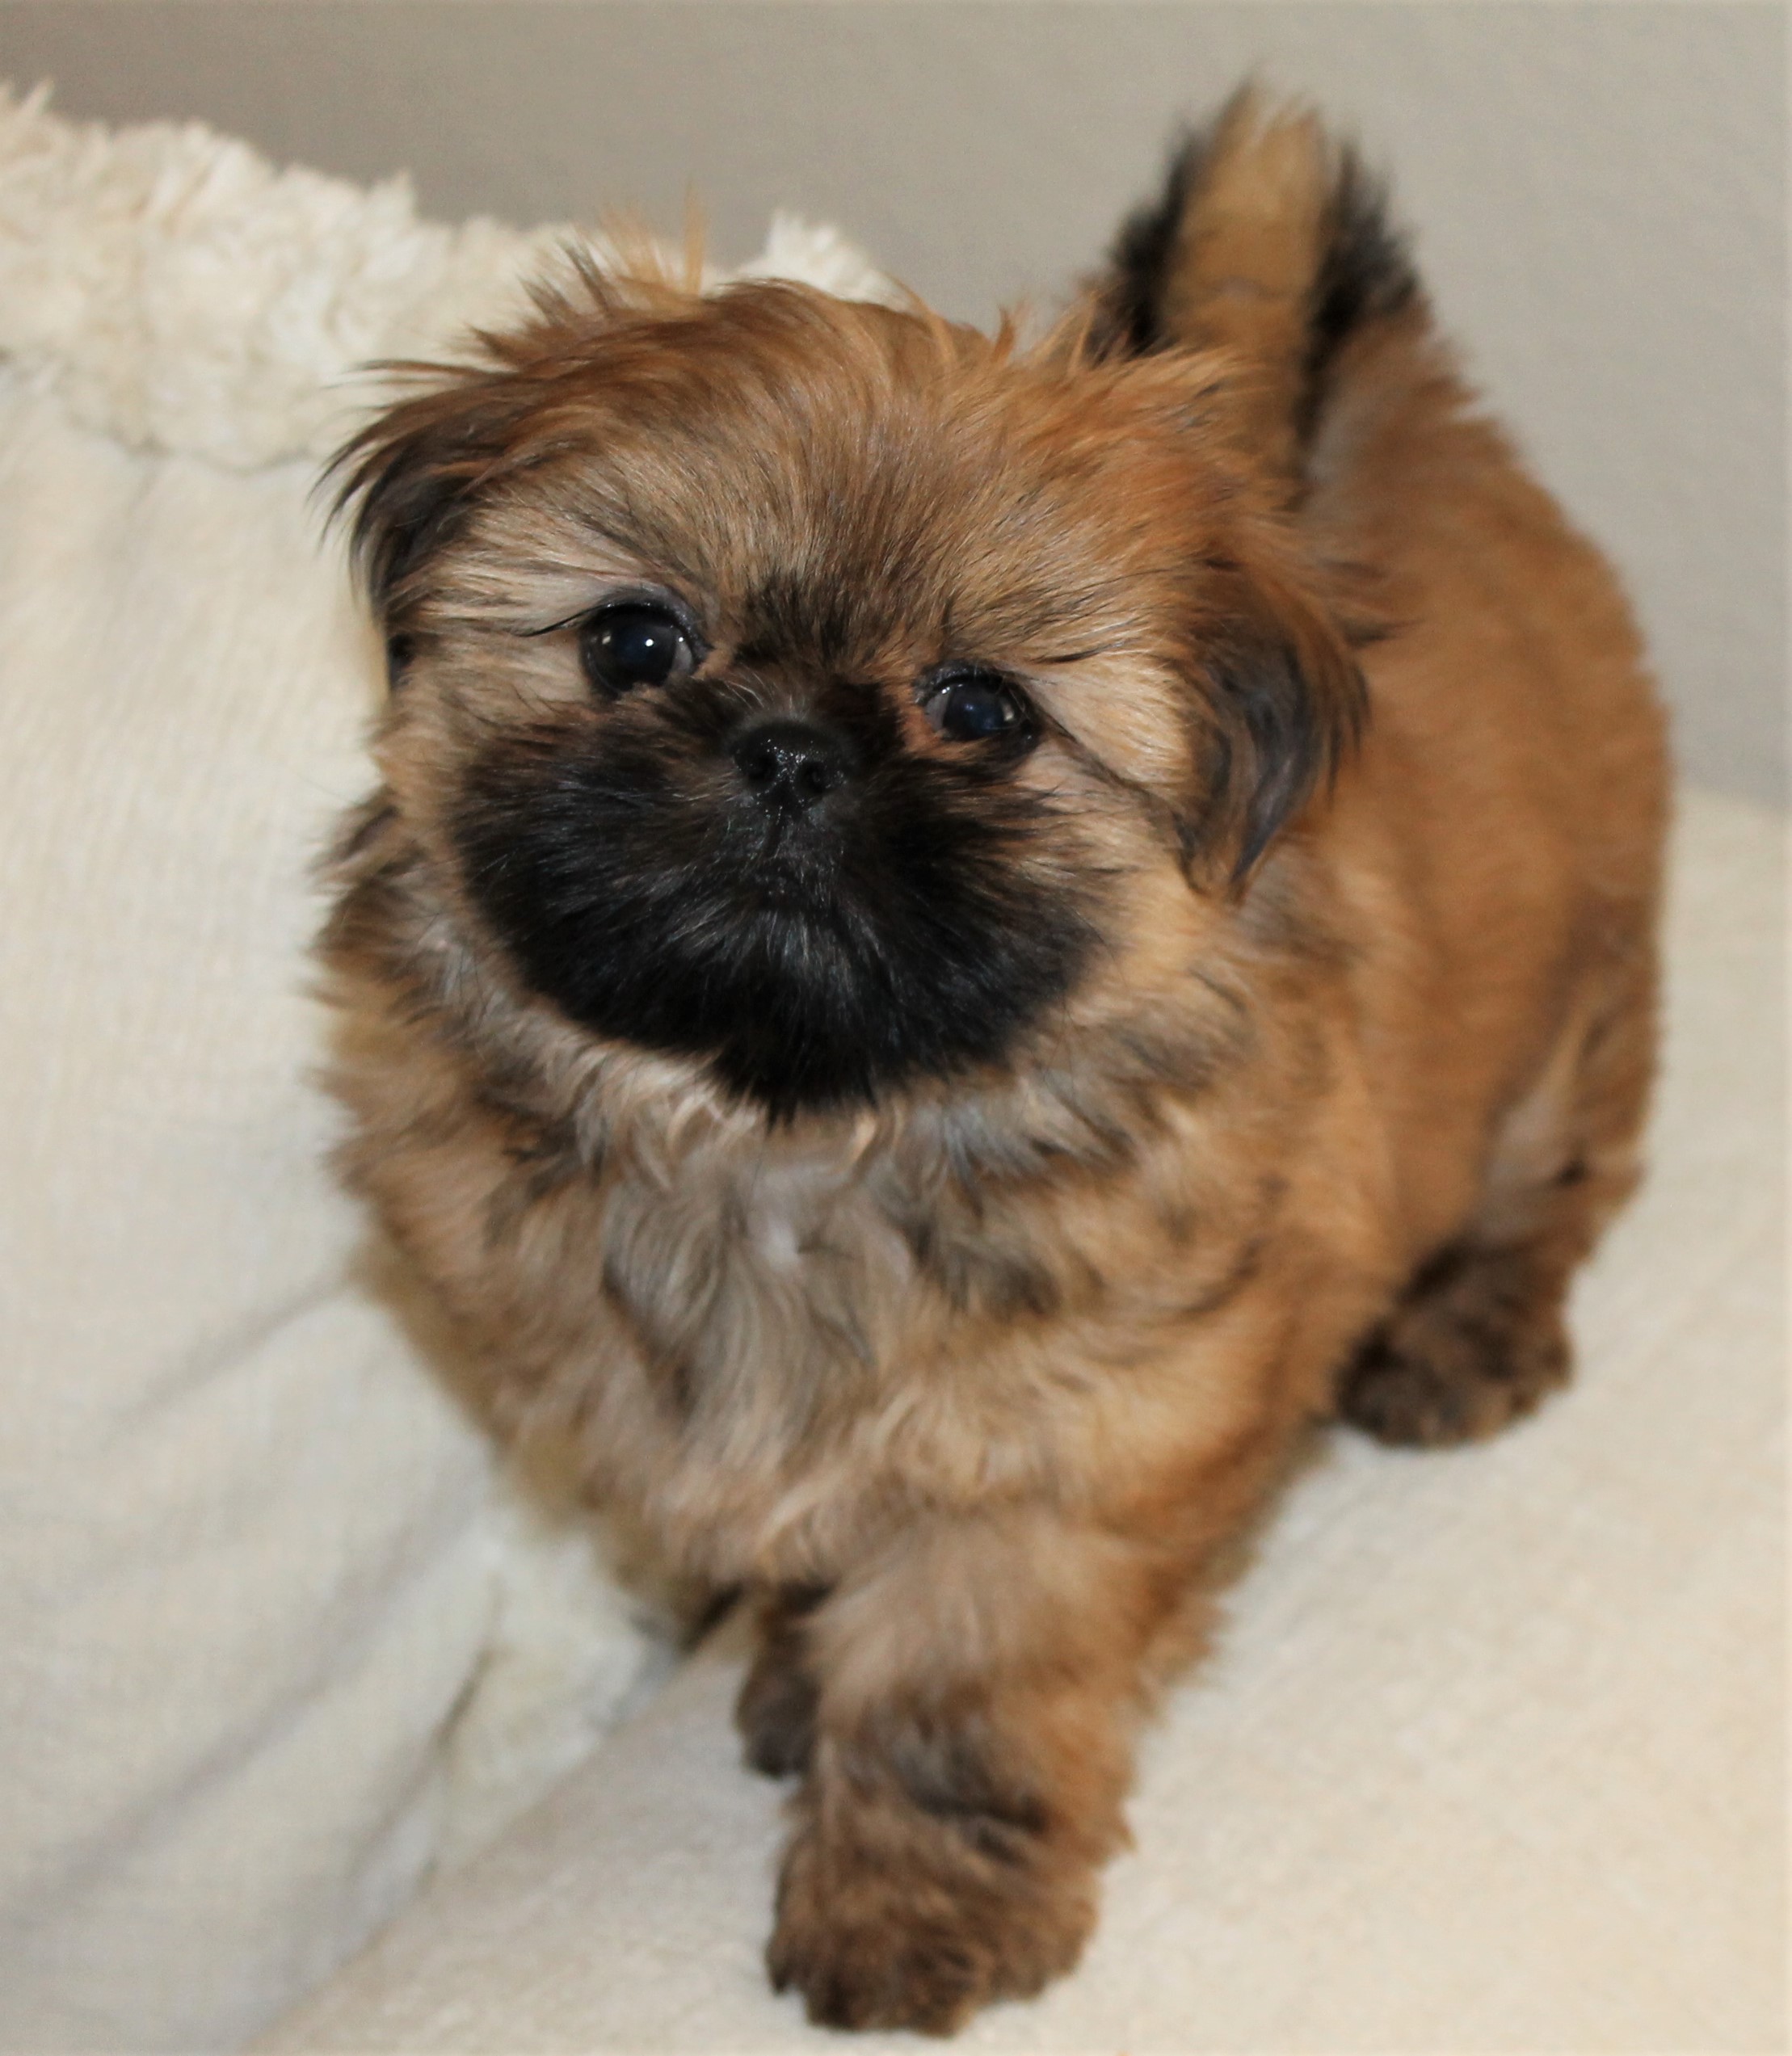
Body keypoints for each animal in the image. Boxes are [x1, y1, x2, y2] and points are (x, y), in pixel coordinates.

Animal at [318, 96, 1668, 2039]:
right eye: (634, 639)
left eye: (981, 712)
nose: (789, 749)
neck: (794, 1131)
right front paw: (793, 1673)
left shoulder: (1064, 1469)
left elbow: (955, 1696)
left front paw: (908, 1907)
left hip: (1571, 1018)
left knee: (1553, 1176)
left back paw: (1462, 1334)